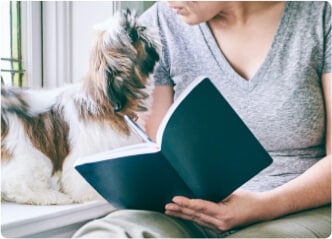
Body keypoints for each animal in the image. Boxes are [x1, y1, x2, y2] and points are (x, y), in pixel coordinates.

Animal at [0, 8, 161, 204]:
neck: (106, 102)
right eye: (132, 35)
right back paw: (51, 196)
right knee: (14, 184)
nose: (143, 27)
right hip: (28, 153)